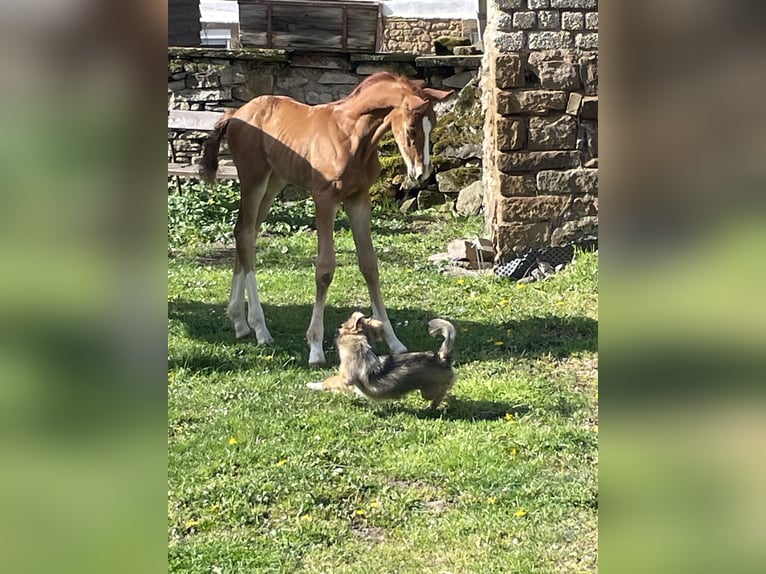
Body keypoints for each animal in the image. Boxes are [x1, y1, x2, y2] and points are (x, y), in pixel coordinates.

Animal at [200, 72, 453, 366]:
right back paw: (260, 329)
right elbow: (324, 269)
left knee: (245, 232)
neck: (353, 137)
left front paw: (394, 341)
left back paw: (240, 322)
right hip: (254, 178)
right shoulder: (325, 199)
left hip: (275, 181)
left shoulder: (358, 199)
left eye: (433, 126)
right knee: (246, 232)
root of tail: (236, 113)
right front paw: (315, 347)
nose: (421, 173)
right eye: (412, 130)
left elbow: (370, 265)